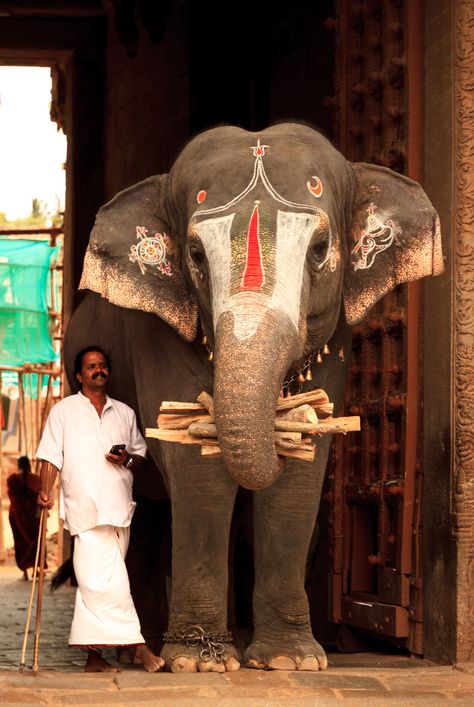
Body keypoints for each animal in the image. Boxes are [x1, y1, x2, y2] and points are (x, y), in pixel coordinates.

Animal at [65, 123, 442, 676]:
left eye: (320, 248)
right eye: (196, 255)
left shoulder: (338, 338)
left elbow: (305, 462)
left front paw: (290, 662)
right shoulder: (157, 334)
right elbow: (197, 468)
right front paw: (198, 664)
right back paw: (147, 651)